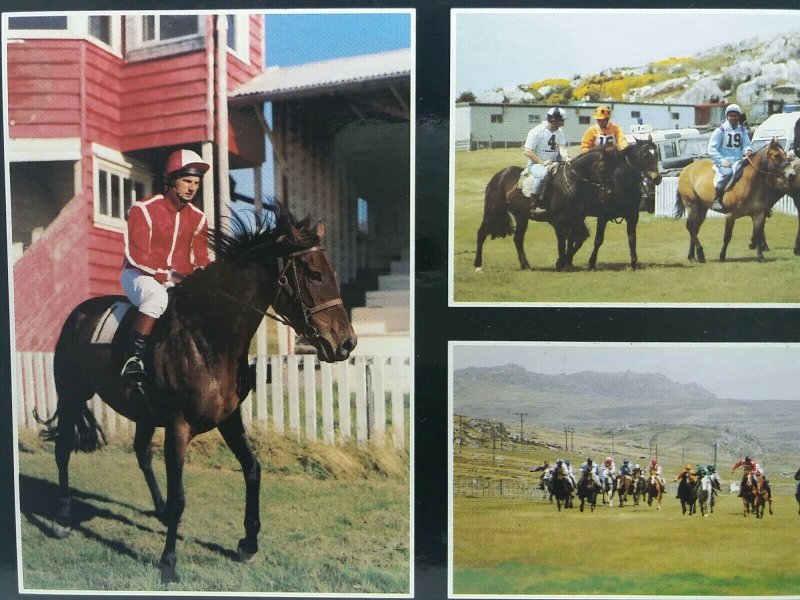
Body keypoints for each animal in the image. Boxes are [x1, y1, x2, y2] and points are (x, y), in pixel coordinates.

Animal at [36, 204, 356, 584]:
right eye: (313, 273)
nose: (346, 342)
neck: (207, 338)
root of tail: (78, 313)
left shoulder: (229, 419)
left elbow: (252, 469)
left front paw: (248, 543)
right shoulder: (178, 427)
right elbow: (180, 497)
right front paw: (169, 562)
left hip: (142, 412)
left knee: (141, 453)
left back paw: (156, 509)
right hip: (70, 395)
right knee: (63, 450)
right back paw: (62, 518)